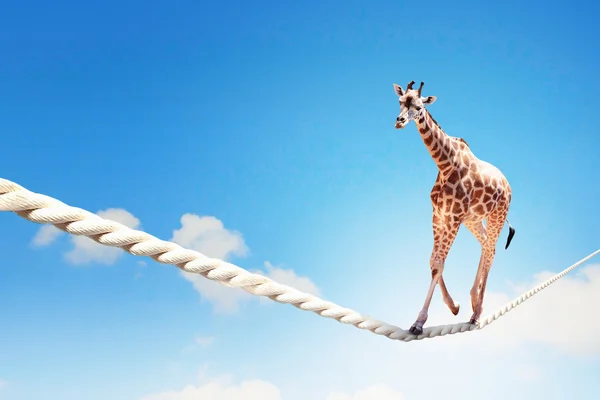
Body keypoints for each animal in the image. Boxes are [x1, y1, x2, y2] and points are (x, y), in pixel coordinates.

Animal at [394, 80, 516, 334]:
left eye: (419, 106)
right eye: (400, 101)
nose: (399, 121)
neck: (445, 164)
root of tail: (508, 185)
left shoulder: (453, 217)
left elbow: (438, 264)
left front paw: (419, 322)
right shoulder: (439, 214)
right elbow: (433, 262)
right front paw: (454, 306)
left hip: (497, 215)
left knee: (490, 249)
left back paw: (477, 313)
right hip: (473, 220)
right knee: (488, 247)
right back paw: (473, 301)